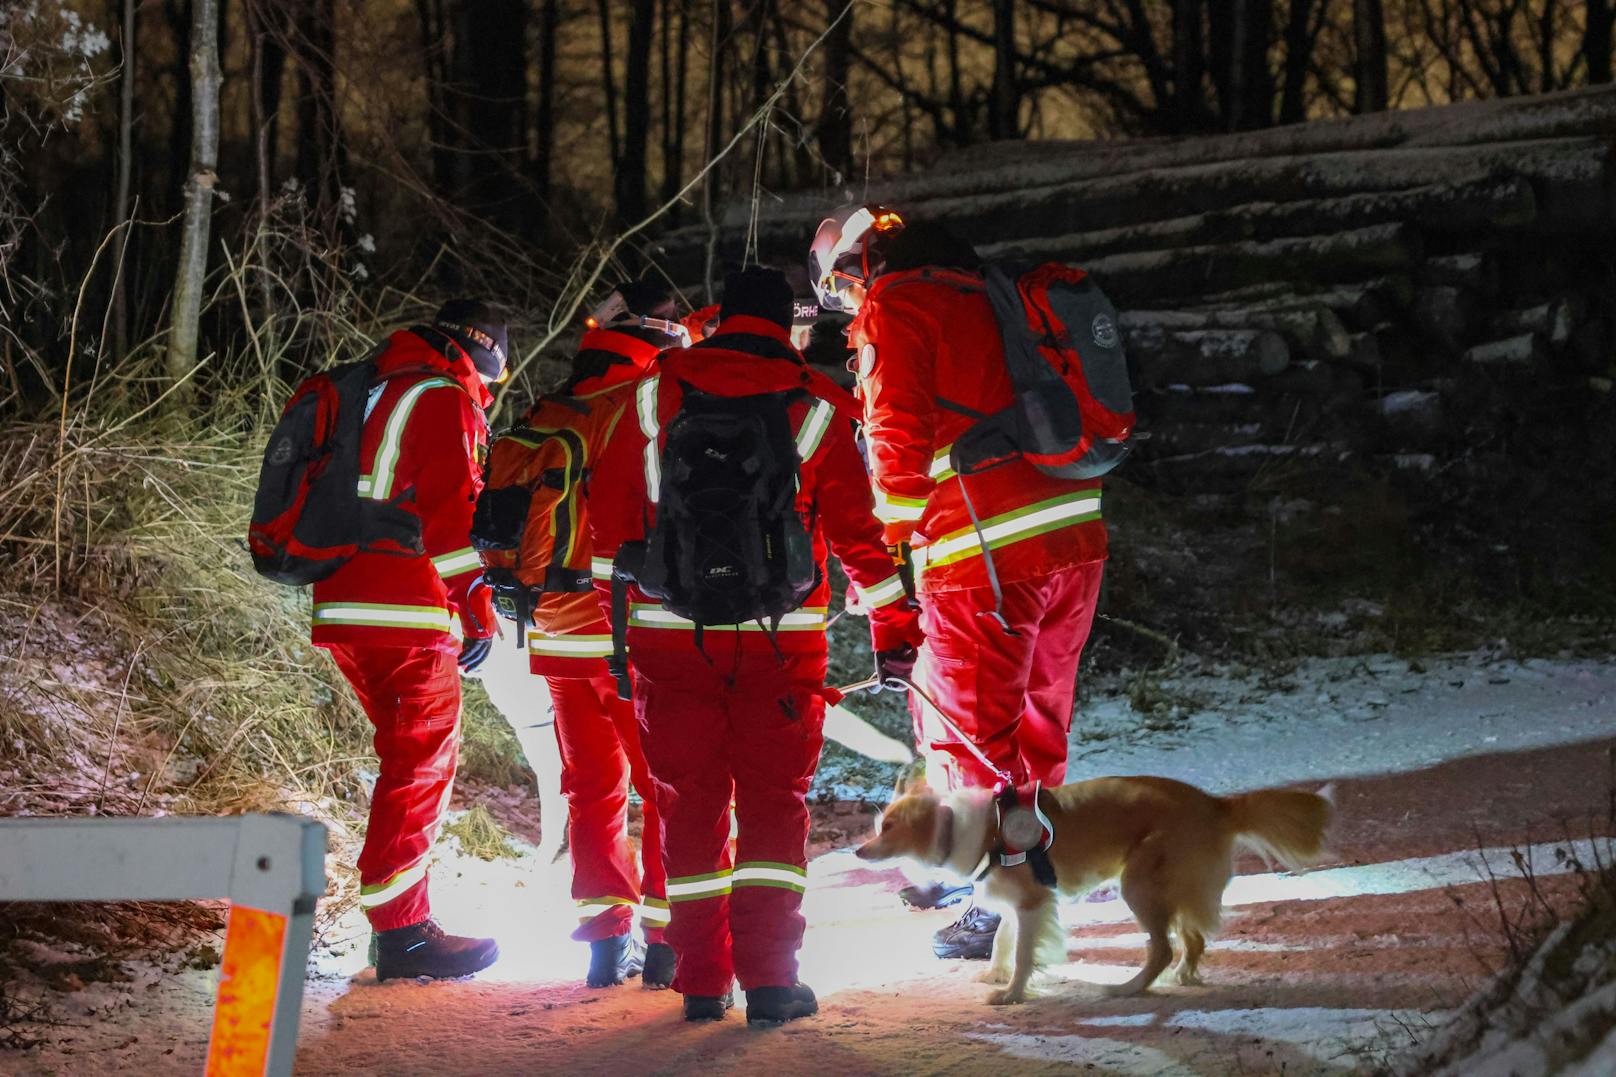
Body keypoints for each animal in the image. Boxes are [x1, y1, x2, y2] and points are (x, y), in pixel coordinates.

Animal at [853, 776, 1331, 1002]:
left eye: (889, 828)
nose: (858, 851)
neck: (973, 827)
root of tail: (1215, 803)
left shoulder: (1033, 903)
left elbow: (1023, 953)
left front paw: (1012, 994)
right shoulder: (1015, 904)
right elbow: (1003, 942)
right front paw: (995, 974)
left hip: (1138, 885)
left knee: (1162, 948)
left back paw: (1129, 989)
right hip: (1172, 887)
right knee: (1192, 939)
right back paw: (1184, 975)